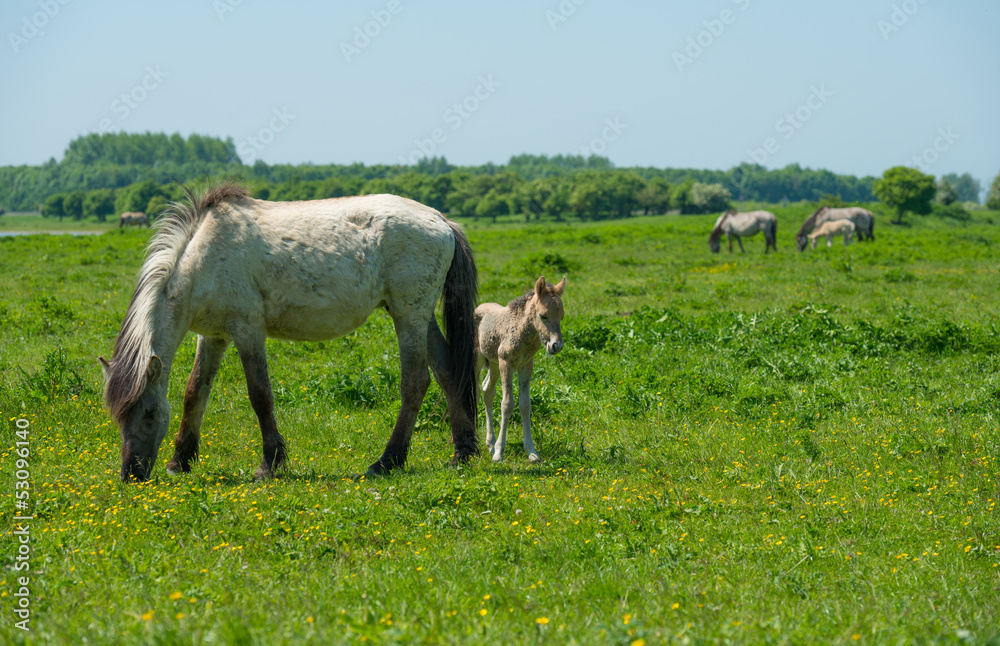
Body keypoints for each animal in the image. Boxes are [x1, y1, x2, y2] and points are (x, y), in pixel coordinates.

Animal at [100, 181, 479, 482]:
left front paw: (269, 464)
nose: (131, 474)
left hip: (409, 315)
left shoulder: (247, 329)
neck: (201, 259)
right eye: (119, 416)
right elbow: (195, 393)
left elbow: (260, 395)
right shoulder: (212, 336)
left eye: (149, 413)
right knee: (448, 372)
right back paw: (463, 452)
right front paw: (179, 461)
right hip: (420, 317)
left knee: (416, 382)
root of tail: (441, 221)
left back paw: (388, 460)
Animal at [475, 276, 566, 463]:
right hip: (478, 359)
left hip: (493, 363)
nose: (557, 346)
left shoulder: (526, 365)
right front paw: (499, 453)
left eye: (561, 317)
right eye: (543, 315)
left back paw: (489, 442)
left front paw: (531, 452)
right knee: (474, 390)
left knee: (487, 390)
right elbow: (507, 404)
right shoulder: (506, 363)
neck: (522, 331)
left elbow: (525, 404)